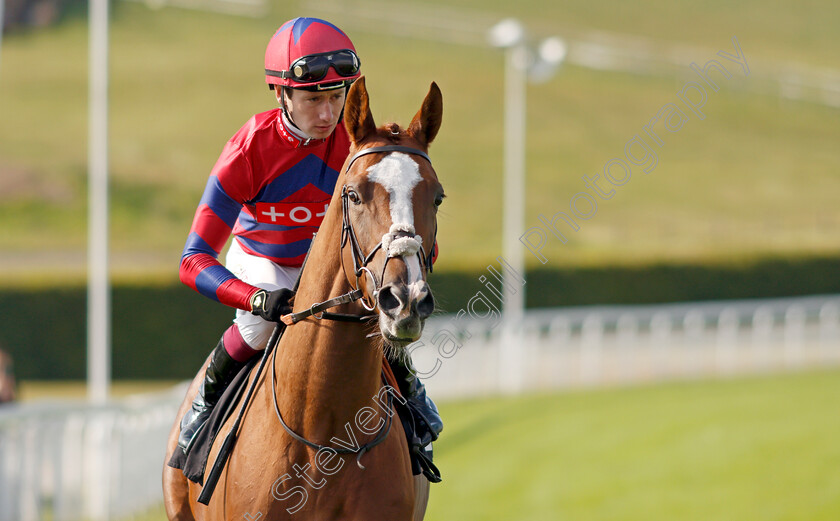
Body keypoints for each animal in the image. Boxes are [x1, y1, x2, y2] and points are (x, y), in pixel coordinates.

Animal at [160, 78, 442, 520]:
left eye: (437, 197)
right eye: (354, 195)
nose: (405, 300)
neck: (323, 430)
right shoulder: (236, 158)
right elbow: (195, 255)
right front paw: (273, 303)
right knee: (251, 330)